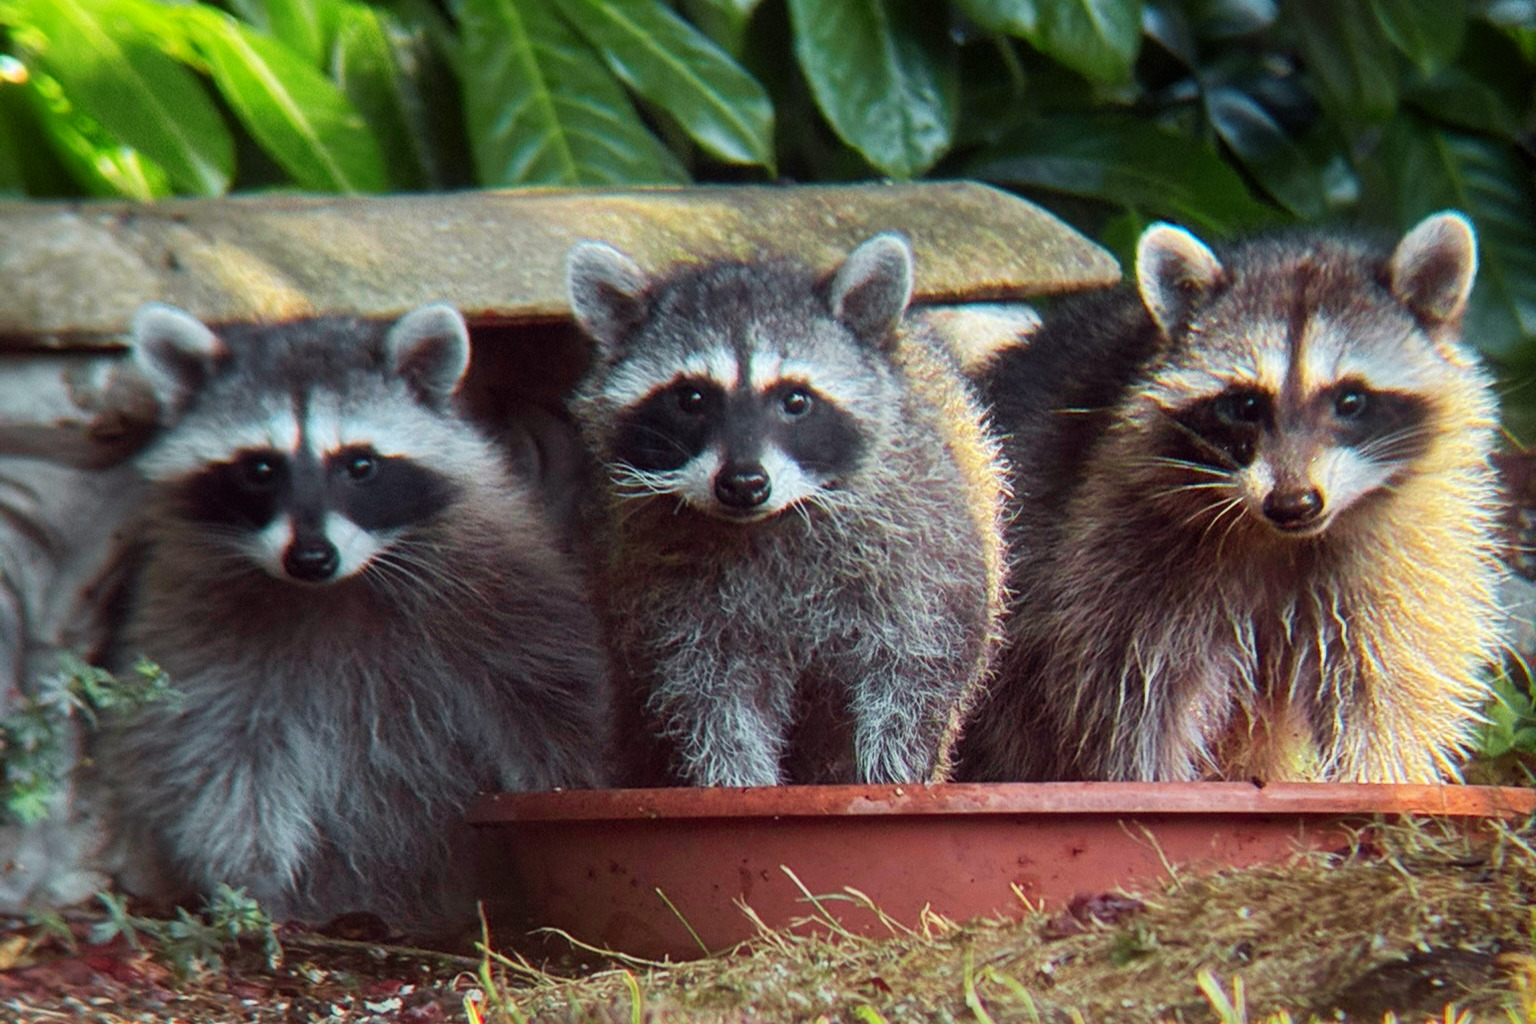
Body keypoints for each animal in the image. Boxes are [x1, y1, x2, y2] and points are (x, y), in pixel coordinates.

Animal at [95, 302, 609, 932]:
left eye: (359, 464)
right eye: (260, 469)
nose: (311, 558)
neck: (336, 588)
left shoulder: (492, 592)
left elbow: (547, 700)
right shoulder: (199, 621)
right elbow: (219, 748)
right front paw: (253, 879)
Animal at [565, 234, 1006, 788]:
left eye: (795, 400)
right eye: (691, 398)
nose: (744, 484)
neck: (768, 521)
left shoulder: (920, 545)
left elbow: (913, 675)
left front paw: (889, 775)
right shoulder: (665, 590)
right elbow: (711, 700)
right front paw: (739, 785)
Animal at [954, 212, 1503, 784]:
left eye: (1351, 400)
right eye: (1246, 405)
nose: (1292, 503)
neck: (1281, 538)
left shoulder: (1397, 554)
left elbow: (1388, 690)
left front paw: (1381, 780)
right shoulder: (1115, 547)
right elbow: (1130, 702)